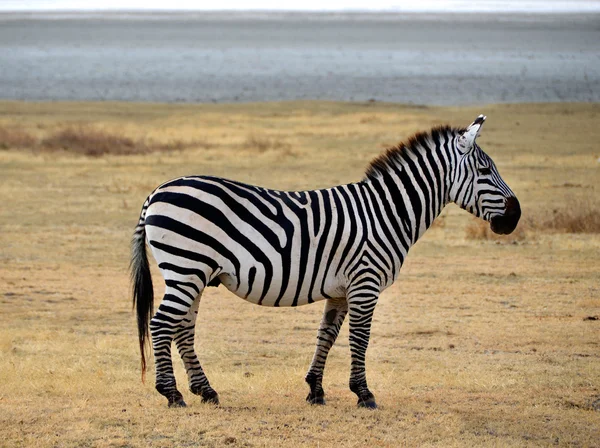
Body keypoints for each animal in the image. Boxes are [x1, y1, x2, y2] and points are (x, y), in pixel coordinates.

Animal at [130, 114, 520, 410]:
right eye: (485, 171)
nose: (515, 216)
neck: (386, 212)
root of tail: (156, 192)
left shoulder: (341, 290)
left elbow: (326, 336)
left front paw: (315, 389)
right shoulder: (366, 282)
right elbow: (360, 339)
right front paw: (364, 394)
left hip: (193, 273)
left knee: (183, 328)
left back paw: (206, 391)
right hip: (187, 269)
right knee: (162, 324)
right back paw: (173, 394)